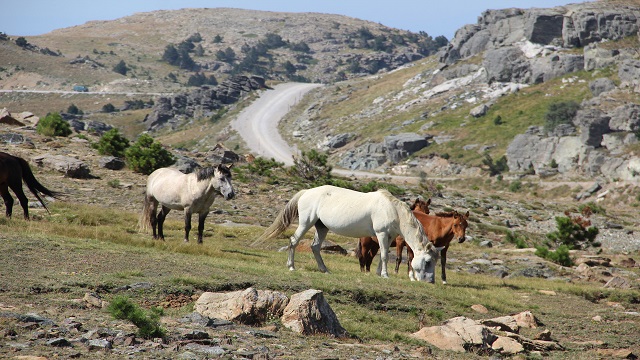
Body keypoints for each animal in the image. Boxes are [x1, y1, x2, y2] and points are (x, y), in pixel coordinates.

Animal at [255, 186, 440, 282]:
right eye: (428, 261)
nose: (430, 281)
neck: (392, 209)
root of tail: (307, 191)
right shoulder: (381, 234)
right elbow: (385, 255)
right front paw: (385, 275)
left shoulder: (388, 237)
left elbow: (383, 255)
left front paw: (379, 273)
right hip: (306, 223)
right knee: (294, 241)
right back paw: (291, 266)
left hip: (321, 227)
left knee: (315, 247)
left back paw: (324, 270)